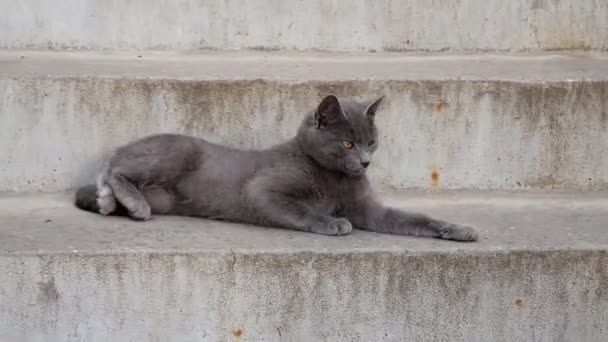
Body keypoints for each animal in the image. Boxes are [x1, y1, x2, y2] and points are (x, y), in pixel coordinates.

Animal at [72, 95, 480, 242]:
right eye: (347, 144)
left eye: (372, 141)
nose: (365, 162)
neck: (335, 181)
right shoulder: (262, 190)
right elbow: (299, 209)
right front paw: (332, 222)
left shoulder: (367, 208)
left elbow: (411, 218)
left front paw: (458, 229)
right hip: (174, 152)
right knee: (112, 169)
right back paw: (127, 202)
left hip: (166, 197)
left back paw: (112, 203)